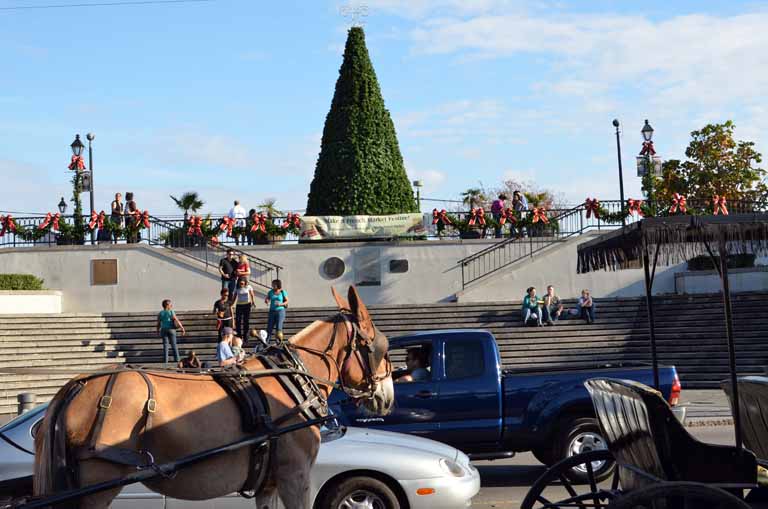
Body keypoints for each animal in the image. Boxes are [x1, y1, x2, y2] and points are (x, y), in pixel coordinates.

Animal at [33, 286, 392, 508]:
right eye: (382, 347)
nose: (387, 397)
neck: (290, 380)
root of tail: (78, 385)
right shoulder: (296, 475)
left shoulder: (269, 484)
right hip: (98, 484)